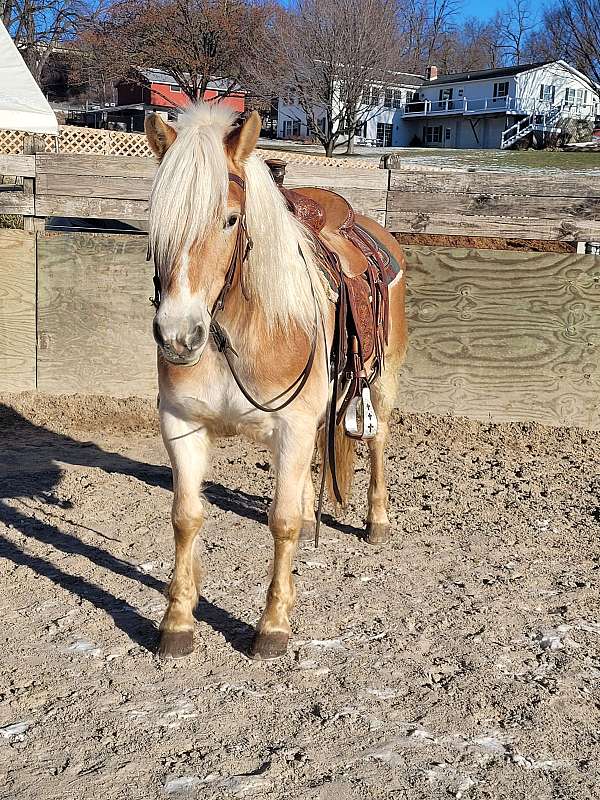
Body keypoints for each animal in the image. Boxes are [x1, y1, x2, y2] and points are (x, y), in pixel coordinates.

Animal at [145, 103, 408, 660]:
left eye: (230, 218)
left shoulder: (291, 425)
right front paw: (177, 620)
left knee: (378, 443)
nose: (179, 335)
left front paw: (272, 626)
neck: (235, 335)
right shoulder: (181, 424)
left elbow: (280, 522)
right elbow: (186, 516)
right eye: (157, 221)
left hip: (381, 382)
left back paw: (376, 521)